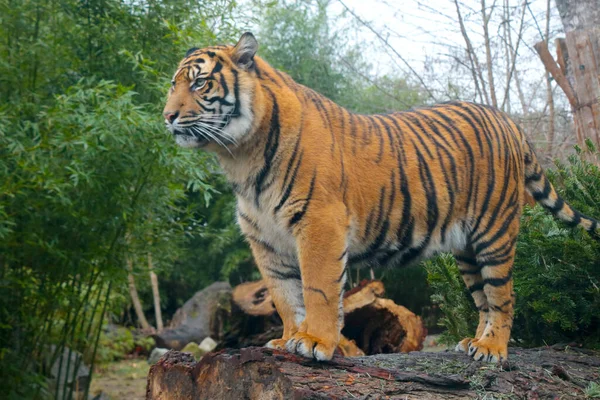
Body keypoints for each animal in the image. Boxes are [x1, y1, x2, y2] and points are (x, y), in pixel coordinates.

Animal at [164, 32, 600, 362]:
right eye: (174, 84)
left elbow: (318, 289)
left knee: (504, 295)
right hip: (466, 249)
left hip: (494, 233)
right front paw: (287, 338)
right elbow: (284, 296)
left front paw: (315, 341)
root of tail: (507, 119)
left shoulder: (319, 224)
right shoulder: (265, 241)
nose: (167, 117)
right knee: (483, 299)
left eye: (199, 83)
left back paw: (493, 349)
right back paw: (473, 343)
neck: (239, 157)